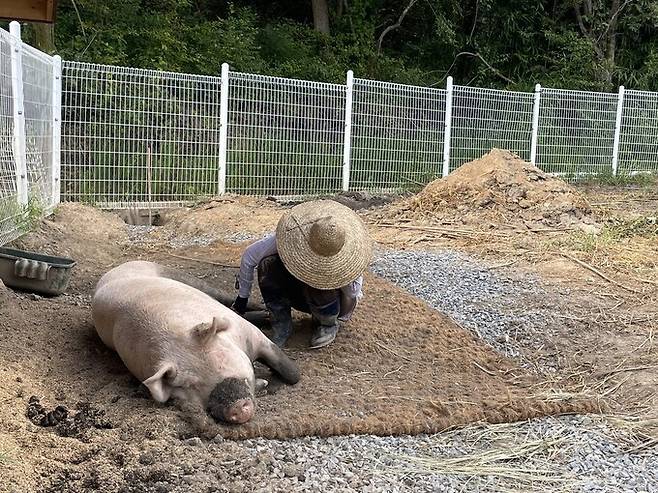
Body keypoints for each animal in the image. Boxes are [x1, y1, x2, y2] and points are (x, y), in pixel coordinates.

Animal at [90, 260, 300, 424]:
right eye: (189, 385)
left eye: (221, 359)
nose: (236, 408)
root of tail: (118, 267)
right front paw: (263, 383)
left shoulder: (250, 333)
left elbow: (291, 373)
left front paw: (272, 381)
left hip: (183, 277)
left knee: (227, 299)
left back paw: (266, 313)